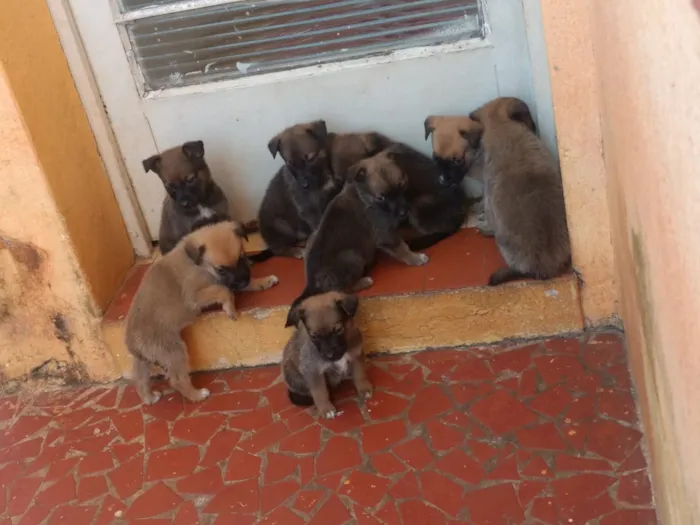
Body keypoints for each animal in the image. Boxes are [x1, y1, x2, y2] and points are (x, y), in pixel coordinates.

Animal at [124, 219, 280, 404]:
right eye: (221, 269)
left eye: (241, 257)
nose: (243, 281)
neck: (198, 264)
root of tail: (133, 345)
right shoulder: (195, 296)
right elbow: (223, 290)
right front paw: (230, 308)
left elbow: (235, 286)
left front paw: (263, 281)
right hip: (173, 351)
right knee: (177, 380)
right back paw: (197, 395)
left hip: (143, 362)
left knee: (139, 379)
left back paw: (149, 398)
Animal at [284, 290, 374, 418]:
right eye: (313, 336)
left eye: (338, 330)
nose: (330, 355)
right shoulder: (312, 370)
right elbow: (320, 392)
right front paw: (326, 408)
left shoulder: (356, 355)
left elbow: (360, 375)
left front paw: (364, 389)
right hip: (291, 372)